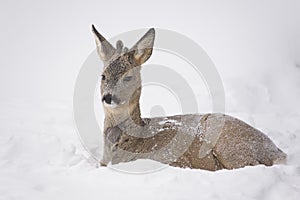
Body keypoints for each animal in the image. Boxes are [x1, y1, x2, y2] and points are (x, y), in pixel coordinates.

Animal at [91, 25, 286, 171]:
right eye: (103, 76)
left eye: (128, 77)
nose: (108, 97)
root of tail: (277, 152)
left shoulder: (172, 159)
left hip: (230, 145)